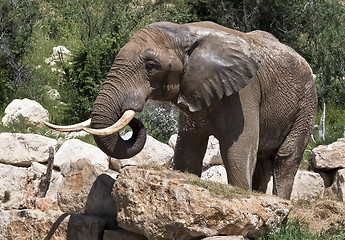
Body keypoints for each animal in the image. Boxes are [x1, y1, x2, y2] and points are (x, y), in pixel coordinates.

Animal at [45, 21, 318, 200]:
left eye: (151, 66)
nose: (134, 118)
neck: (186, 31)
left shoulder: (244, 92)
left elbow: (238, 152)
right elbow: (188, 151)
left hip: (307, 105)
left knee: (285, 159)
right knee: (263, 162)